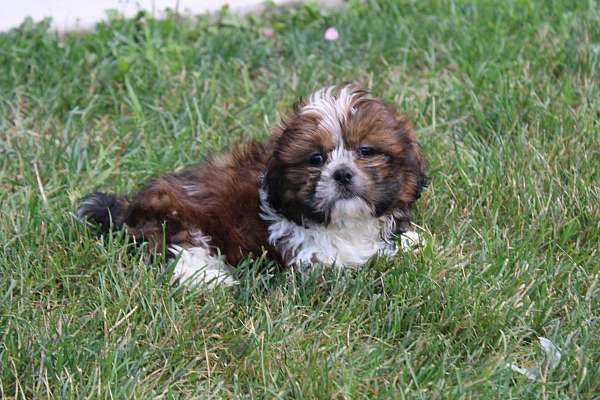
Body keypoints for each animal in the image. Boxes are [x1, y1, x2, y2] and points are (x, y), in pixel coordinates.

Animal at [77, 84, 426, 286]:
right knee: (180, 251)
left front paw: (411, 242)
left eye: (366, 151)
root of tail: (127, 209)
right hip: (171, 218)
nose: (342, 173)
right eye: (316, 158)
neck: (346, 223)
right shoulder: (308, 254)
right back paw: (210, 279)